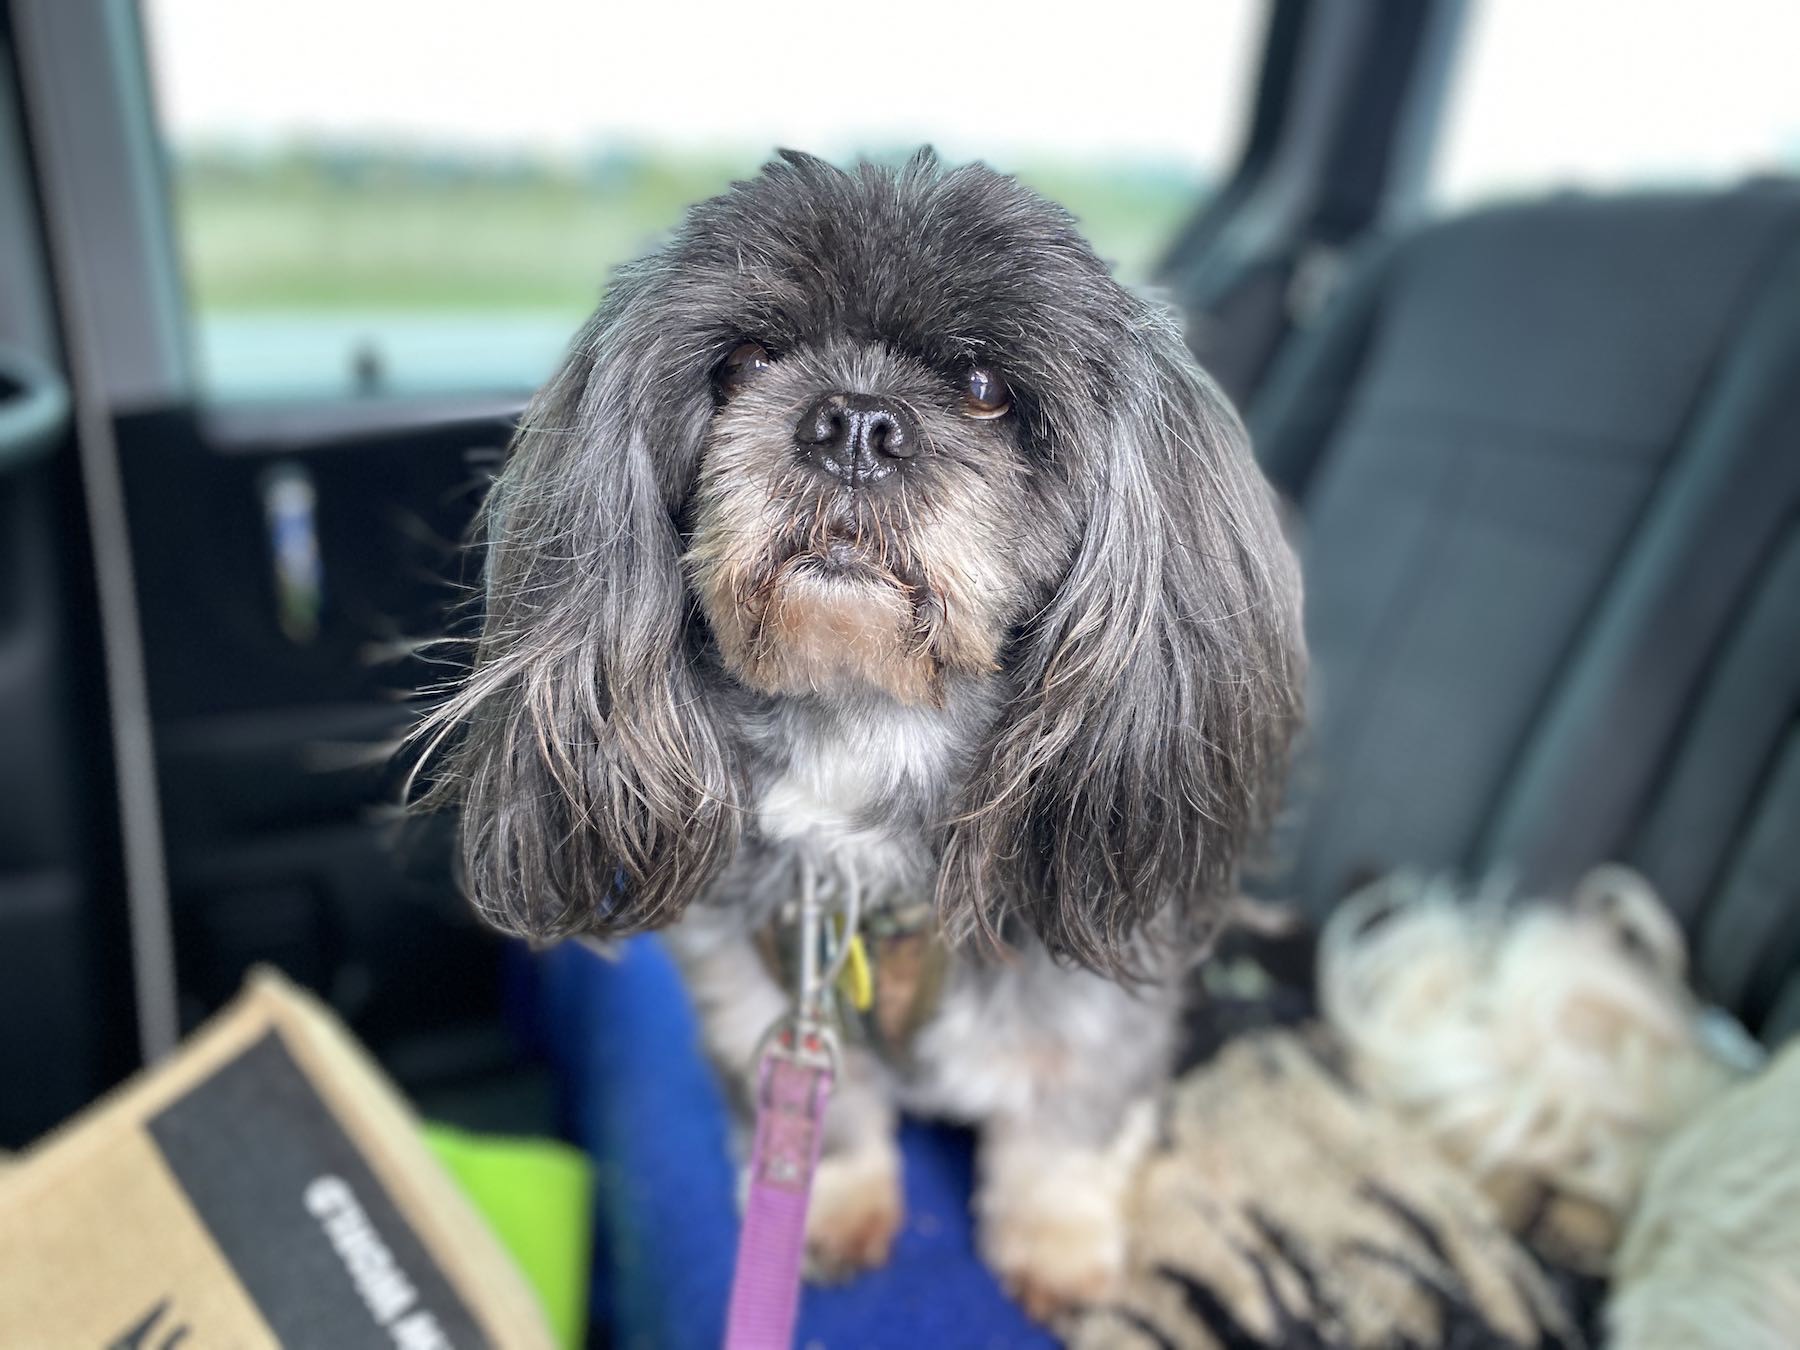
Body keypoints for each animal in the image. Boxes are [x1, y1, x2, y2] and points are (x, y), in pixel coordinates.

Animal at [414, 150, 1303, 1324]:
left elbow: (1067, 1127)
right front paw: (831, 1209)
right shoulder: (762, 992)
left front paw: (1059, 1246)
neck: (866, 733)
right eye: (745, 361)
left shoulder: (1095, 985)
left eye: (985, 388)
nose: (854, 425)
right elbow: (824, 1121)